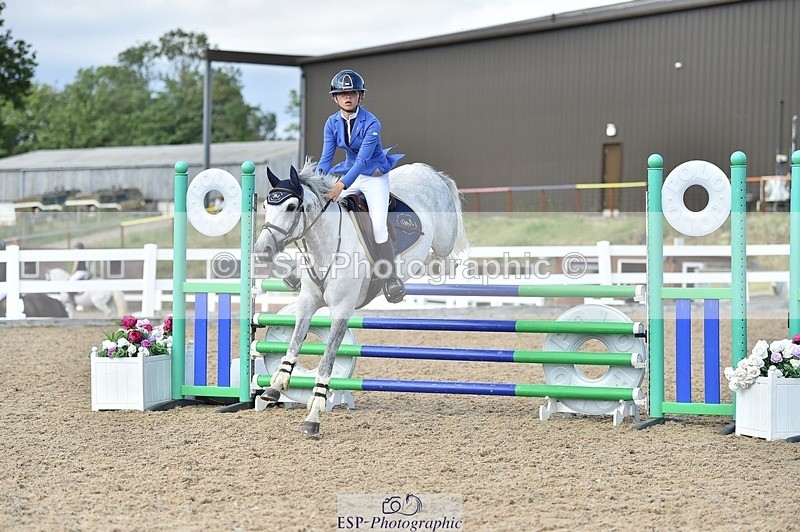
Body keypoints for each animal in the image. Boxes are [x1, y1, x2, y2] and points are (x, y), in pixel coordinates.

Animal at [254, 159, 468, 437]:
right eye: (266, 206)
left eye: (291, 207)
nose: (261, 251)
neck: (326, 244)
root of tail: (428, 171)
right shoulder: (307, 303)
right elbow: (294, 342)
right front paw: (276, 385)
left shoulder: (342, 309)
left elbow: (327, 360)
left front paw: (314, 413)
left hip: (443, 240)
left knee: (444, 253)